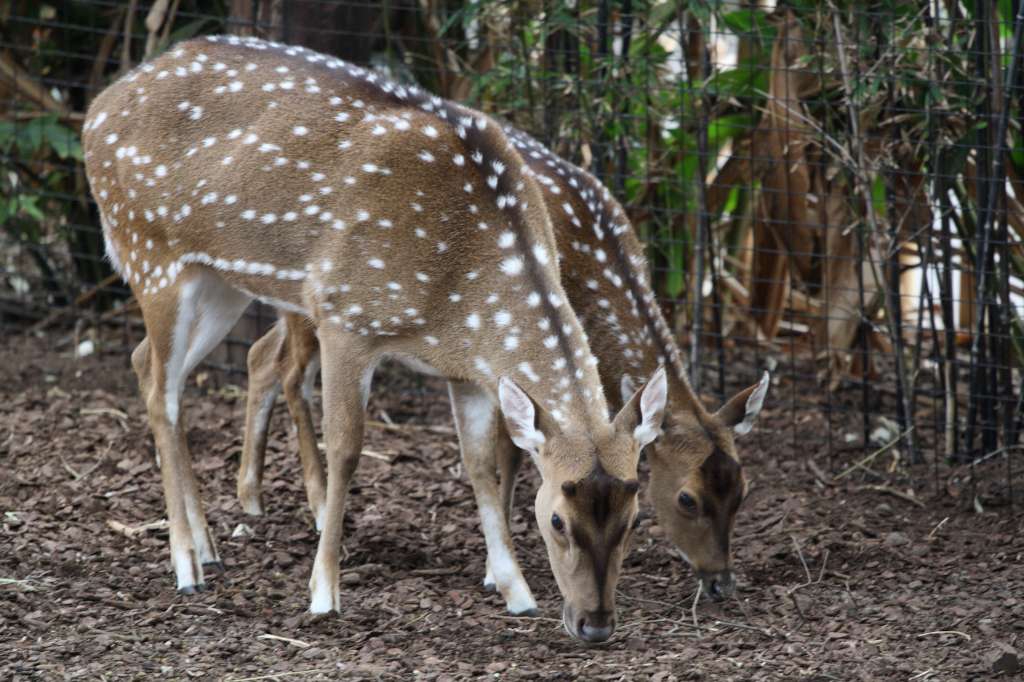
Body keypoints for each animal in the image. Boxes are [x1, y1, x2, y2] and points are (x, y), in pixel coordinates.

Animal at [83, 35, 667, 643]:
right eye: (555, 518)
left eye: (633, 518)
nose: (595, 624)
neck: (458, 291)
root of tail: (97, 108)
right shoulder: (345, 315)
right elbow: (345, 450)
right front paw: (323, 593)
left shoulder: (467, 369)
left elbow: (479, 464)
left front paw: (516, 591)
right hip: (150, 253)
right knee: (164, 394)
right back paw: (186, 565)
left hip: (219, 281)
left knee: (147, 363)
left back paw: (209, 546)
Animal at [237, 123, 770, 602]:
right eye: (687, 498)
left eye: (743, 492)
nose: (721, 583)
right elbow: (509, 451)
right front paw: (499, 567)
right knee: (289, 369)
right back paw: (309, 505)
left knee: (261, 353)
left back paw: (251, 497)